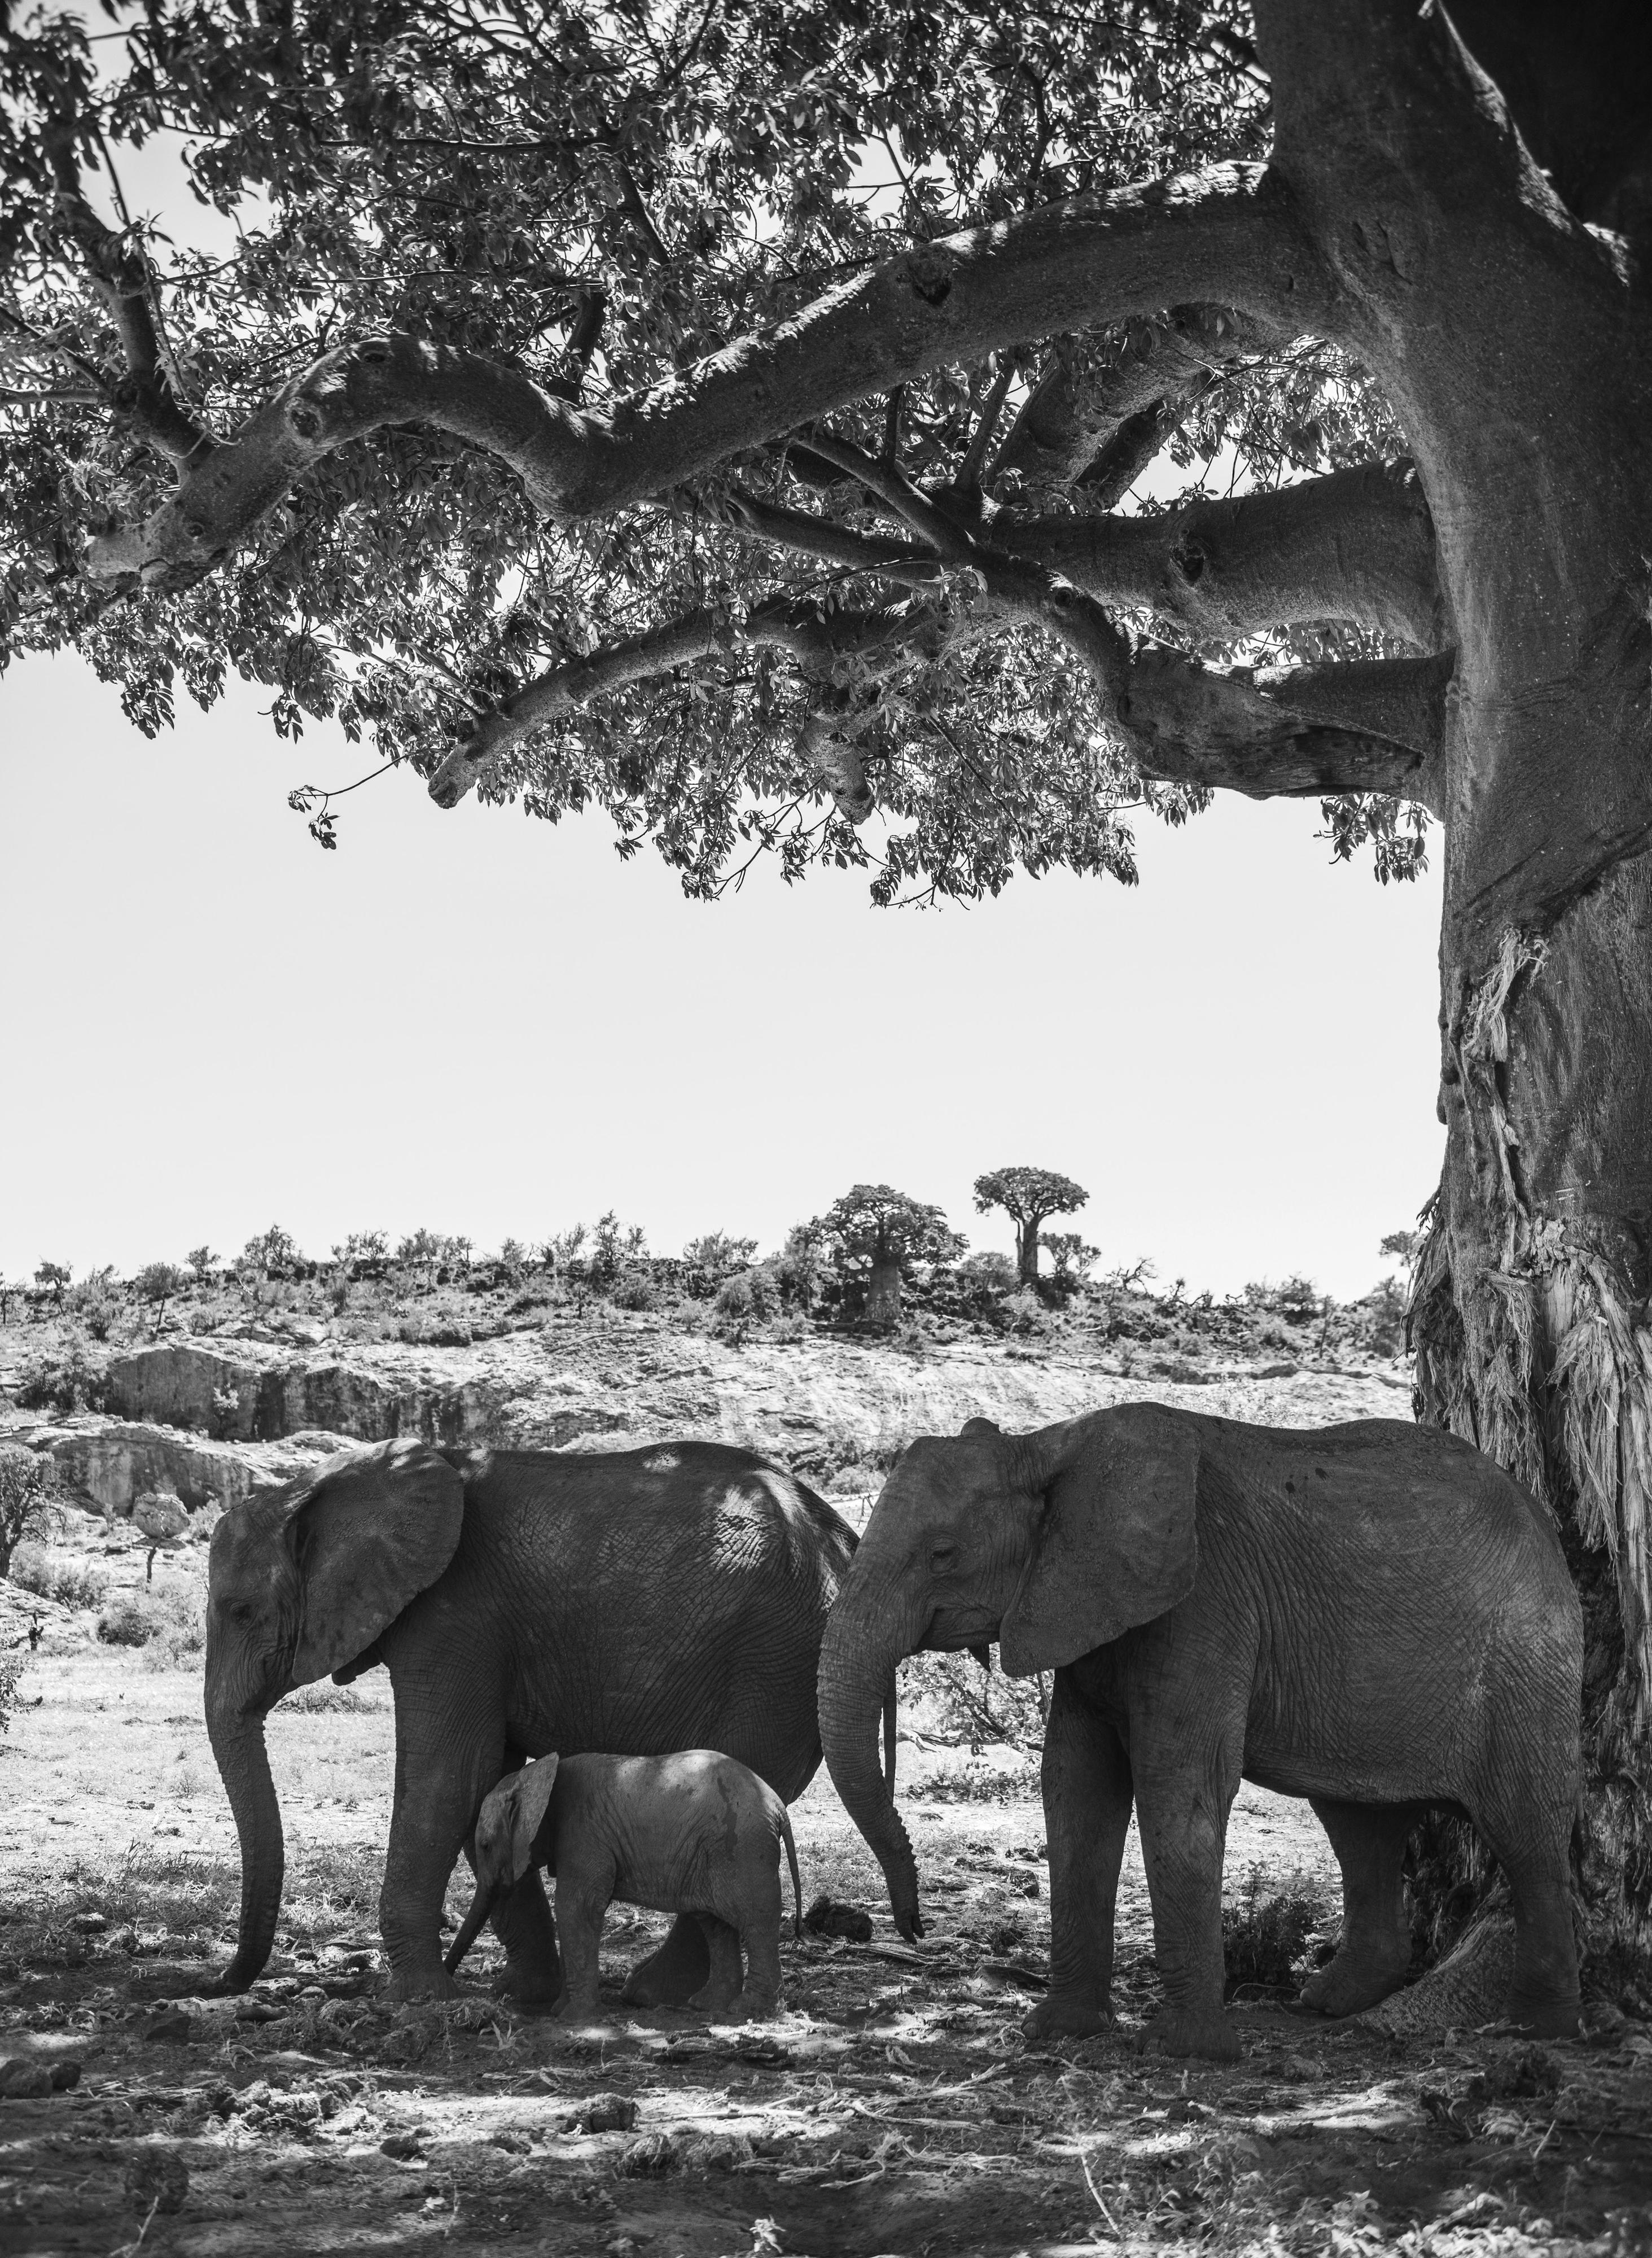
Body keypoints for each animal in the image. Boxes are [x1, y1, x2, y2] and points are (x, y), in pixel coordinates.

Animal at [445, 1749, 804, 2020]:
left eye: (485, 1846)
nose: (449, 1980)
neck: (537, 1776)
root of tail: (778, 1806)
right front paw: (562, 2011)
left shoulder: (584, 1835)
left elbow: (576, 1908)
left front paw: (572, 2018)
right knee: (714, 1923)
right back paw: (706, 2006)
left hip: (742, 1848)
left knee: (755, 1921)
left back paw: (749, 2011)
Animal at [819, 1404, 1583, 2059]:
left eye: (943, 1553)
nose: (913, 1926)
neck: (1043, 1446)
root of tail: (1544, 1529)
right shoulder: (1080, 1608)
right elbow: (1073, 1783)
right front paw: (1058, 2031)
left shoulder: (1203, 1599)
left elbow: (1174, 1783)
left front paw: (1182, 2050)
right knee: (1359, 1825)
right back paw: (1328, 2003)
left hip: (1525, 1661)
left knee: (1526, 1831)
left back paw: (1536, 2028)